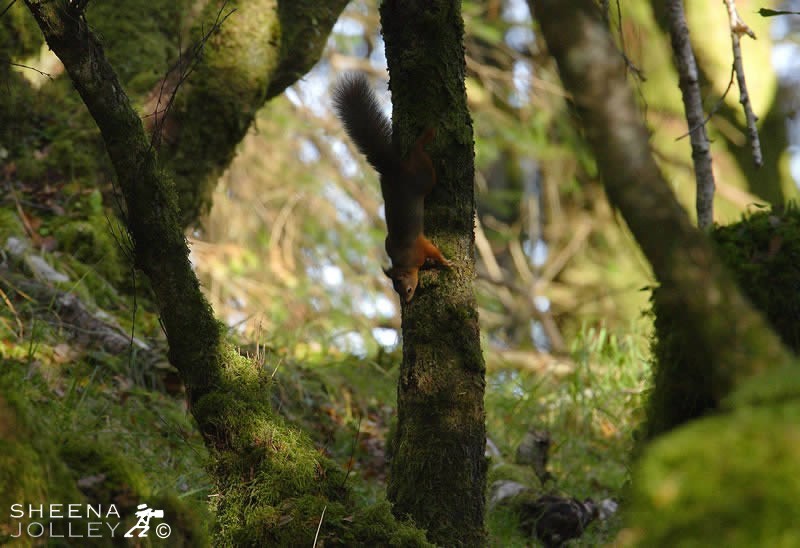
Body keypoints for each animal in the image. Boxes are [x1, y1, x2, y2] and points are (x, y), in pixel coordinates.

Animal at [332, 73, 452, 302]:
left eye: (407, 289)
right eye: (396, 290)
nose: (407, 301)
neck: (404, 262)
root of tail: (395, 171)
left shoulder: (420, 247)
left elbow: (434, 252)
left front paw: (446, 262)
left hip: (422, 177)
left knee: (419, 152)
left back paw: (427, 137)